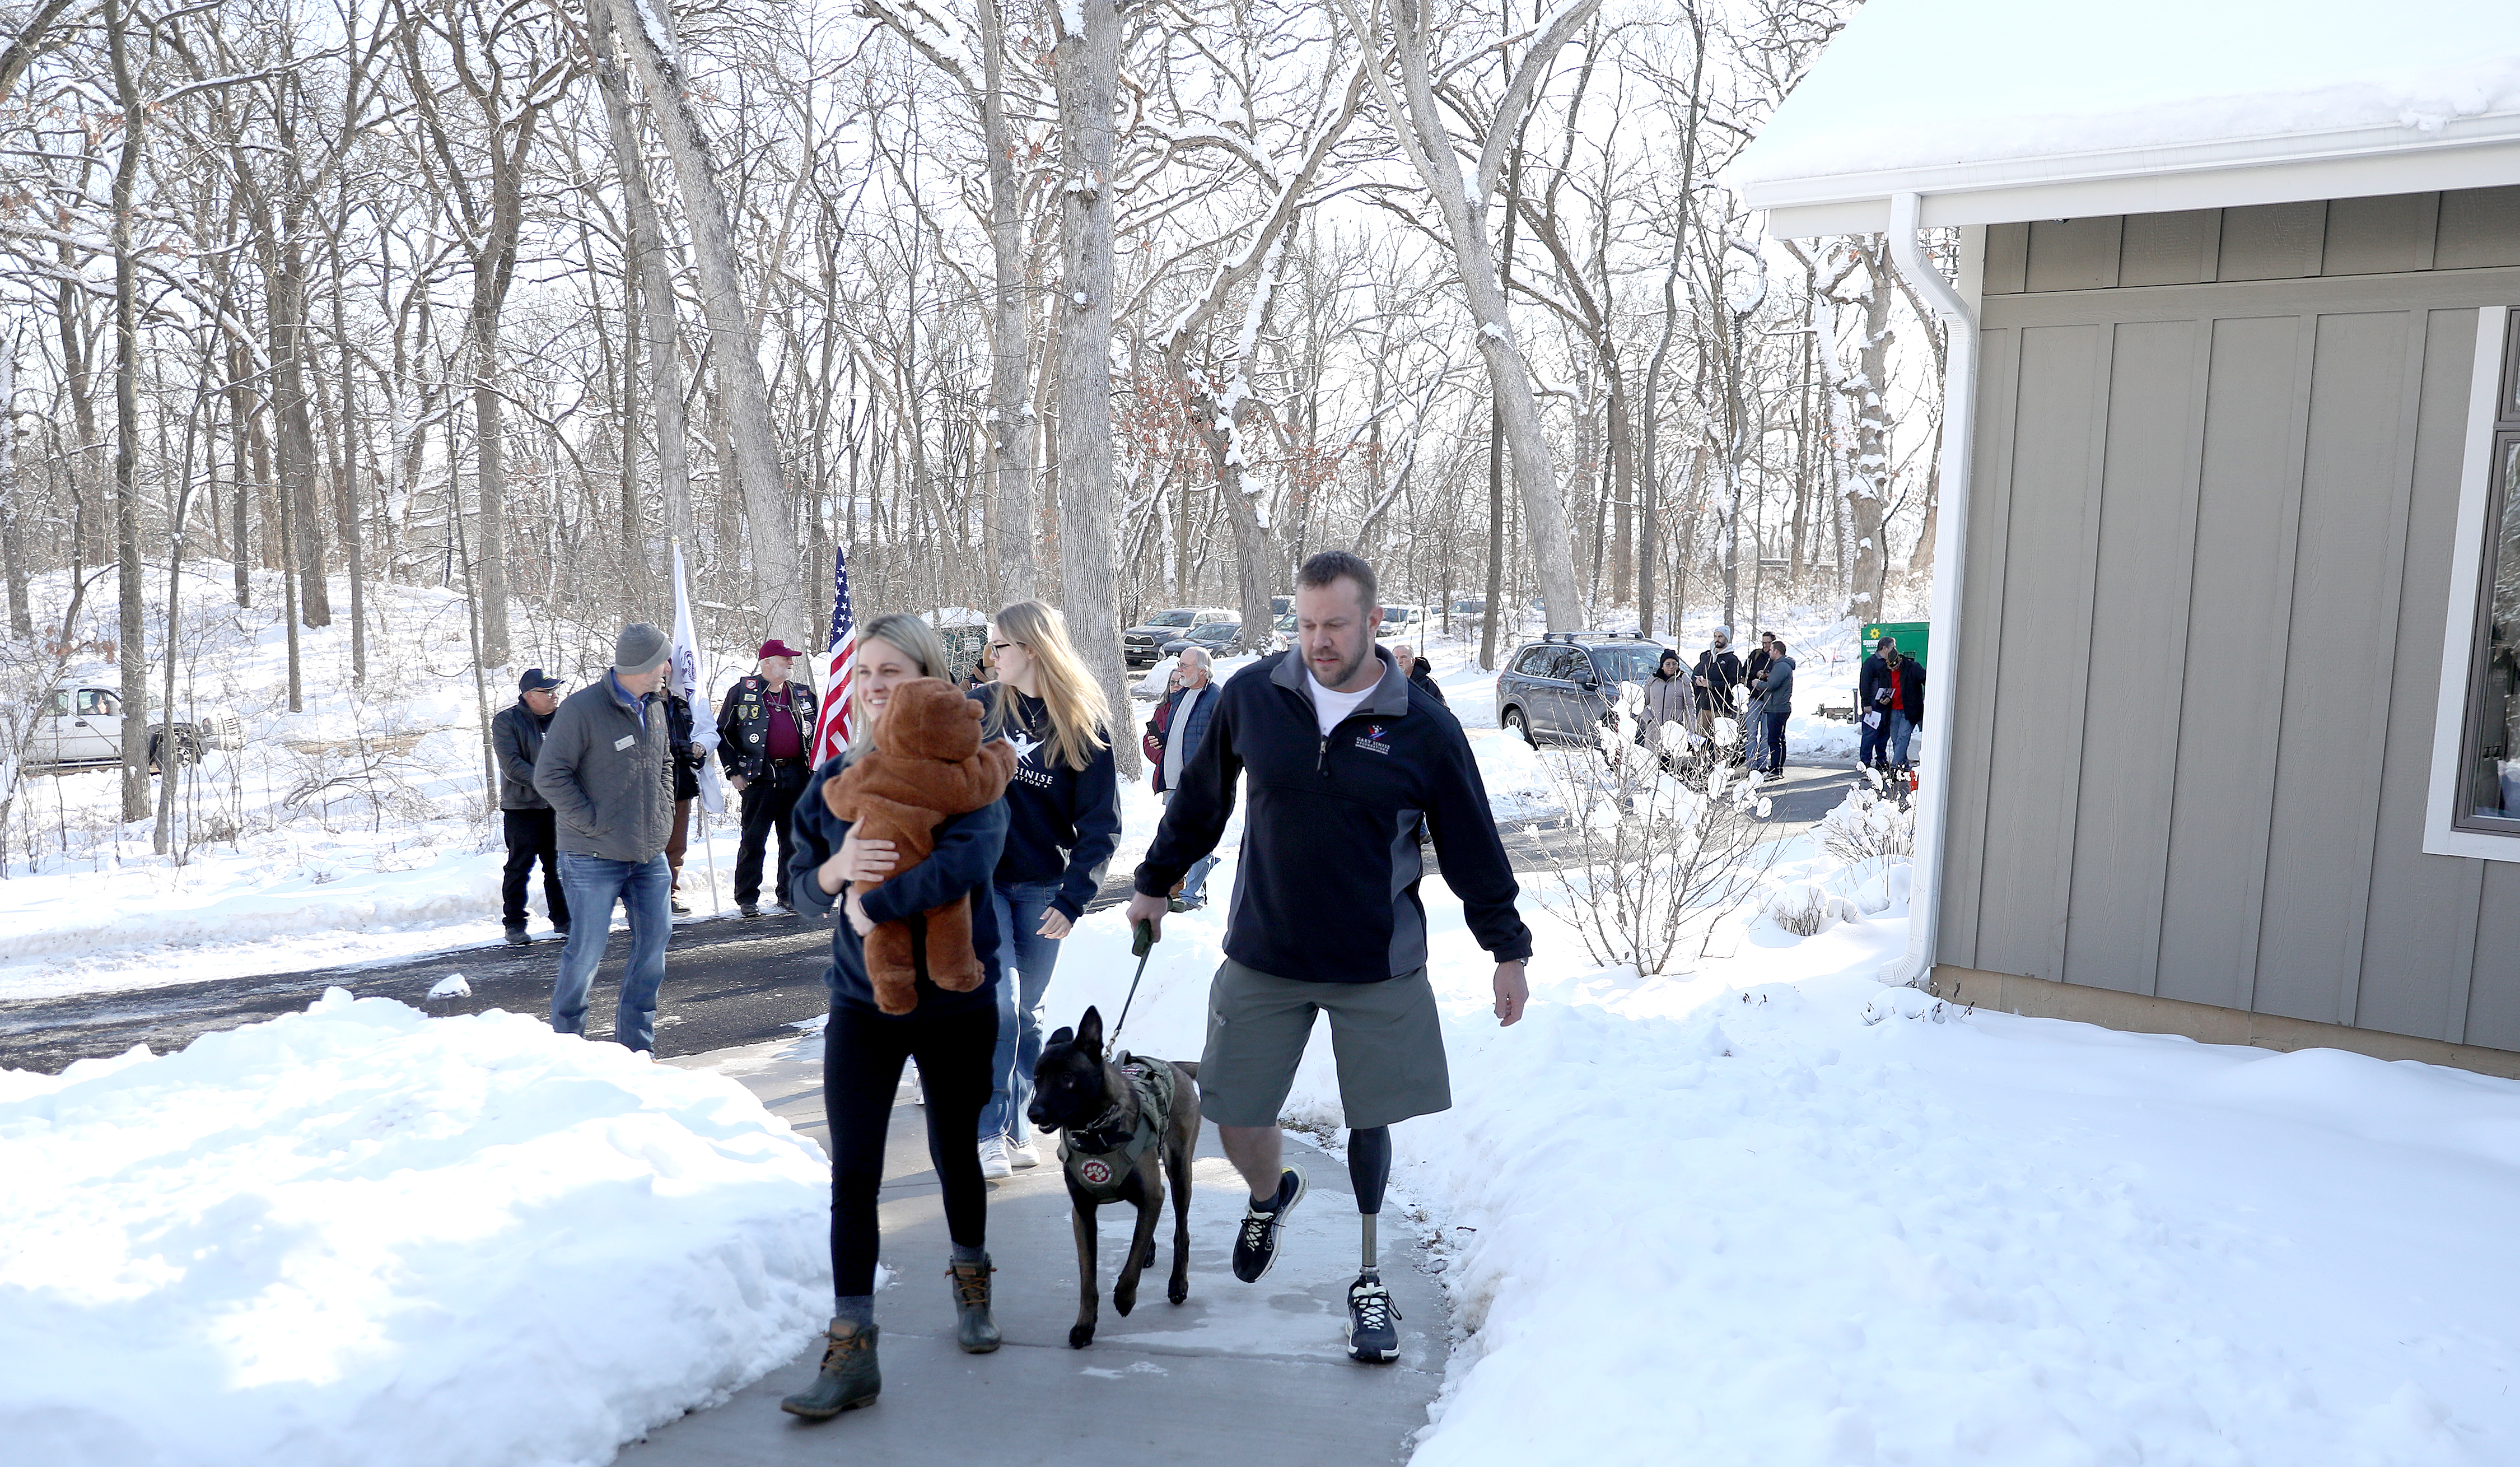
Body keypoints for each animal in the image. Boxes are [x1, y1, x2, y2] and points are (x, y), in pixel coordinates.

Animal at [1033, 1008, 1210, 1351]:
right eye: (1036, 1078)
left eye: (1067, 1078)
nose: (1034, 1112)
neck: (1096, 1132)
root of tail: (1174, 1066)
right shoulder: (1083, 1213)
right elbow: (1088, 1279)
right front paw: (1085, 1326)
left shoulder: (1154, 1195)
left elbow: (1134, 1256)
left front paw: (1126, 1297)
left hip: (1179, 1171)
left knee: (1180, 1232)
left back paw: (1178, 1283)